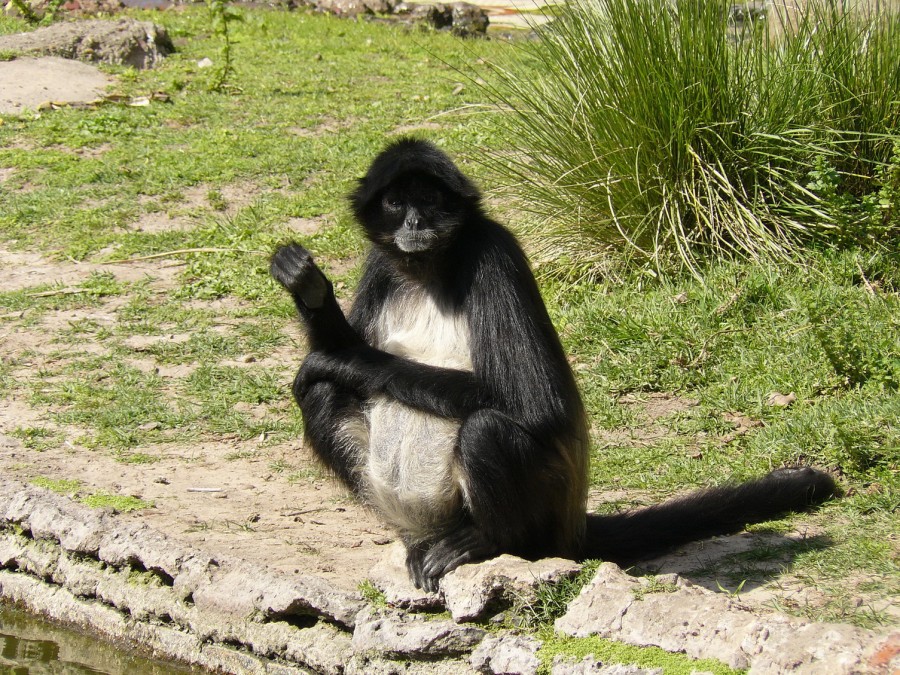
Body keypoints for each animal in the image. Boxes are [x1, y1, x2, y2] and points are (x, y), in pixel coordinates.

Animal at [268, 140, 836, 596]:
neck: (427, 268)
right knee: (320, 394)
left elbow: (535, 403)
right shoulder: (380, 267)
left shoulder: (492, 252)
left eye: (428, 201)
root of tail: (572, 528)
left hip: (543, 514)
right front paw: (312, 294)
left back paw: (483, 541)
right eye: (395, 202)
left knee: (486, 429)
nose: (414, 223)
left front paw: (346, 356)